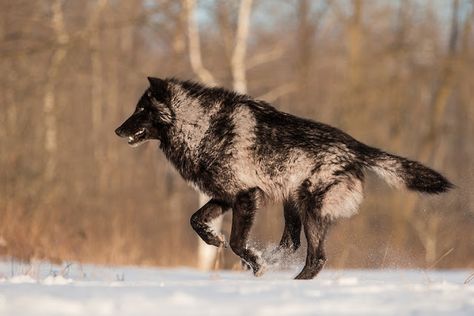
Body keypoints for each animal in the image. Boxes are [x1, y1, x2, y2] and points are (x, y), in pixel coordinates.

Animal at [115, 78, 452, 280]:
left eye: (141, 109)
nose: (117, 130)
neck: (203, 125)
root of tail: (356, 147)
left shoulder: (246, 196)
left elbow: (237, 241)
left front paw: (255, 263)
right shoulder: (225, 196)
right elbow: (196, 220)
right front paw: (216, 241)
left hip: (311, 210)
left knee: (315, 257)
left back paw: (293, 282)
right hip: (293, 203)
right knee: (291, 243)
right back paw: (274, 264)